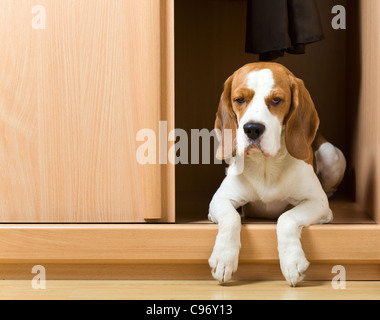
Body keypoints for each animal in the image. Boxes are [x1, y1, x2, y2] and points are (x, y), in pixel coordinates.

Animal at [209, 62, 346, 284]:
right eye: (240, 99)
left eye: (276, 100)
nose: (252, 129)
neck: (266, 166)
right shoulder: (219, 199)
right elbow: (231, 218)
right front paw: (223, 257)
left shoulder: (318, 203)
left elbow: (286, 218)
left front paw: (292, 261)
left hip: (332, 154)